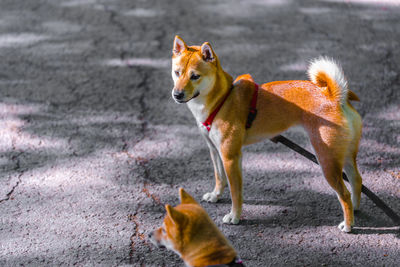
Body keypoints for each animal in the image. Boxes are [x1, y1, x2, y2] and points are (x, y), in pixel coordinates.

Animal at [170, 35, 364, 232]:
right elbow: (219, 178)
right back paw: (356, 210)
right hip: (344, 155)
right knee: (357, 180)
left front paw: (234, 216)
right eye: (177, 73)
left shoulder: (230, 157)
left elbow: (235, 192)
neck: (222, 99)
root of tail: (333, 96)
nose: (177, 94)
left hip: (327, 161)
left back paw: (348, 225)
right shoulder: (215, 151)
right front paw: (216, 195)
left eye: (195, 76)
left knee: (344, 194)